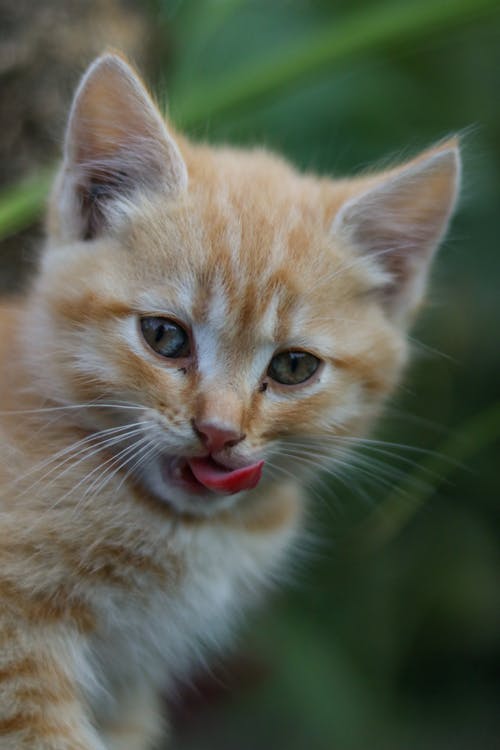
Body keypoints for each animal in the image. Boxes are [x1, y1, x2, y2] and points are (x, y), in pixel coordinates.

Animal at [0, 54, 460, 750]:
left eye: (293, 367)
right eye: (164, 336)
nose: (218, 430)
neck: (189, 534)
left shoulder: (130, 691)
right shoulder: (18, 650)